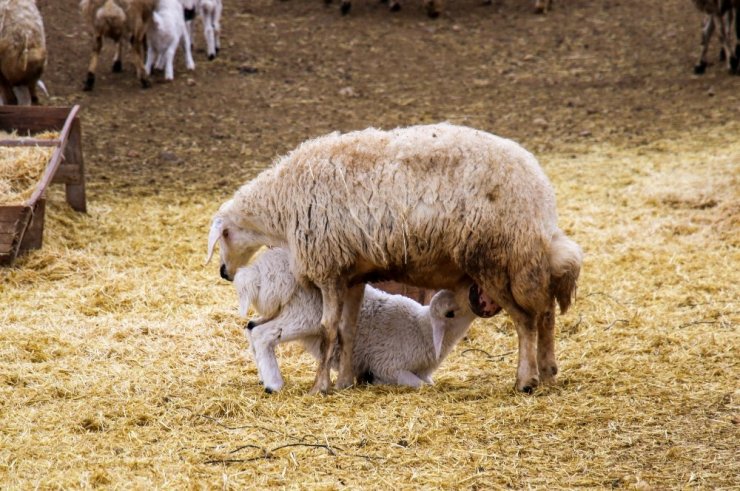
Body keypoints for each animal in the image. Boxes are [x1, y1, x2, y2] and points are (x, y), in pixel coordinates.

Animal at [238, 248, 480, 394]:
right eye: (451, 312)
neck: (422, 330)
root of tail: (262, 273)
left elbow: (428, 382)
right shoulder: (388, 364)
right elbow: (419, 384)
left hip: (282, 311)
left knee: (251, 327)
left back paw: (263, 377)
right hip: (304, 315)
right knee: (262, 334)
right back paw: (273, 384)